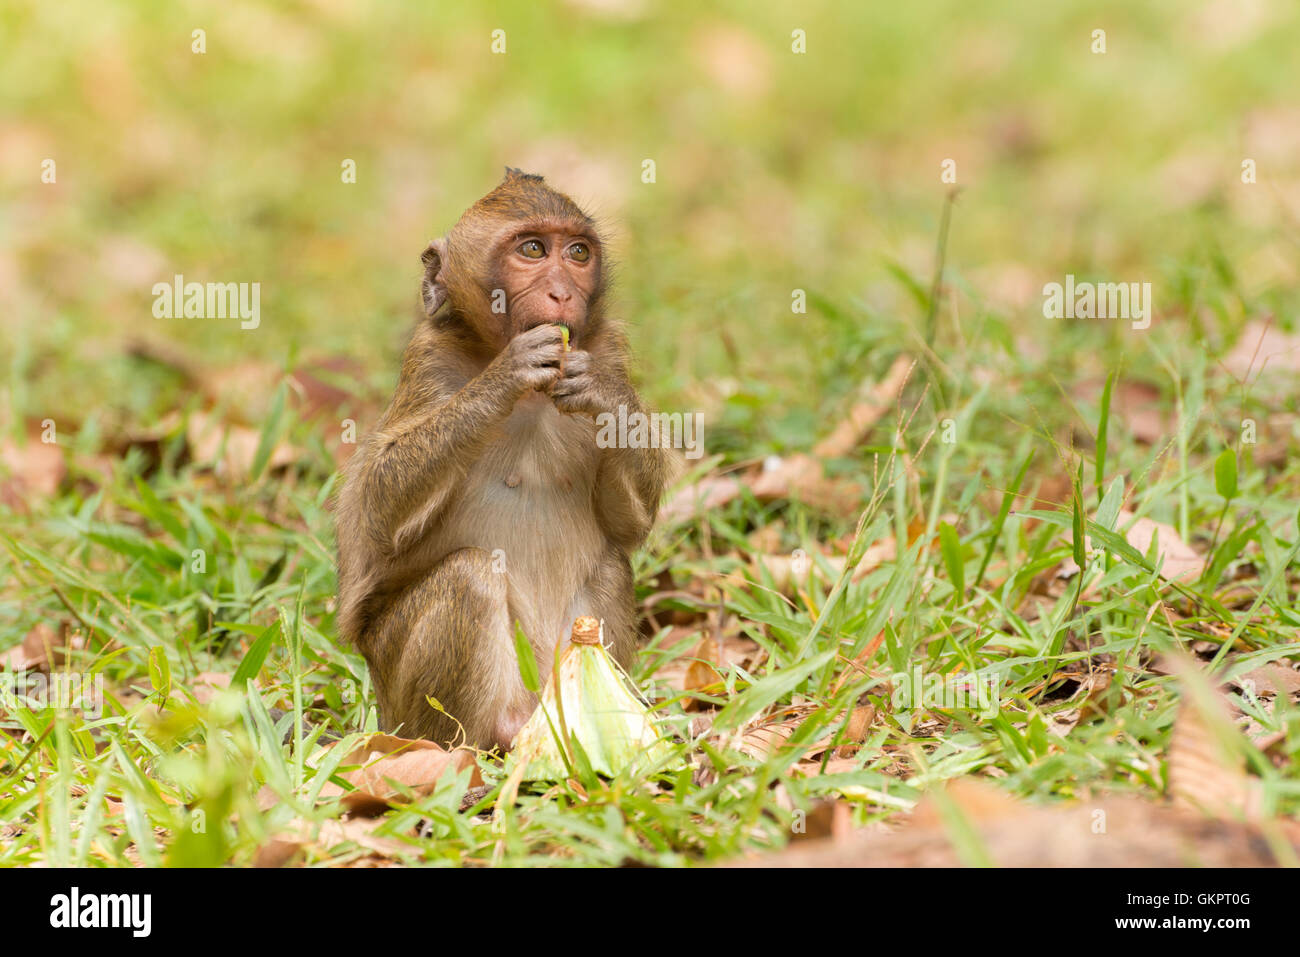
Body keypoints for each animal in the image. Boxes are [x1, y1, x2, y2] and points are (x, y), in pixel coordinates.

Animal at [334, 168, 668, 752]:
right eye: (532, 250)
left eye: (578, 252)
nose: (563, 292)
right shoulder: (429, 360)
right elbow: (376, 509)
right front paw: (503, 378)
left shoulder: (608, 348)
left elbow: (629, 525)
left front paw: (601, 392)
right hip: (401, 702)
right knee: (468, 576)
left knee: (609, 566)